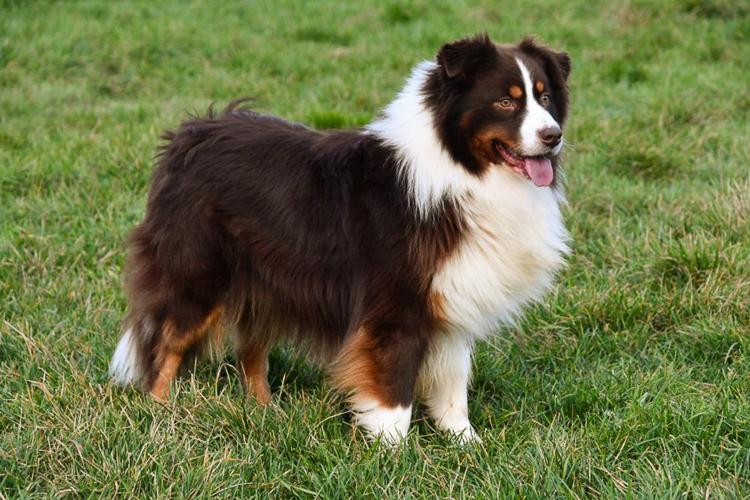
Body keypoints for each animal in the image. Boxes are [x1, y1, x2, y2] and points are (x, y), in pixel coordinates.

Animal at [108, 33, 572, 444]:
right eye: (506, 101)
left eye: (545, 98)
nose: (553, 136)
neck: (460, 170)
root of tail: (188, 135)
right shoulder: (395, 308)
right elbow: (394, 393)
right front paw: (391, 454)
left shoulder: (452, 298)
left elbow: (453, 385)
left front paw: (466, 446)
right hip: (200, 272)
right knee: (166, 345)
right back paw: (159, 414)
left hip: (267, 278)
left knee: (251, 353)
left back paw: (264, 413)